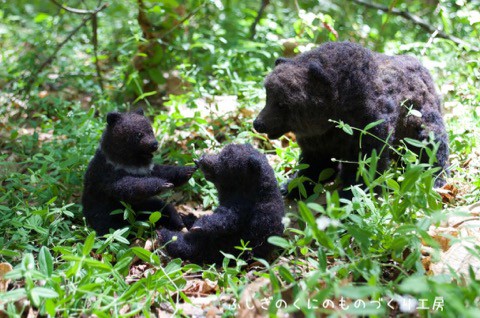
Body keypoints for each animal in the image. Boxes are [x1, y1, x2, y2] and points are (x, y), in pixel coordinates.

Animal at [255, 41, 450, 198]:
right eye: (268, 96)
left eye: (282, 103)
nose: (258, 123)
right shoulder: (317, 141)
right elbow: (314, 165)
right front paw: (292, 187)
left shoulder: (367, 131)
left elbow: (365, 167)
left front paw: (353, 196)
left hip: (419, 121)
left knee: (431, 147)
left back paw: (436, 179)